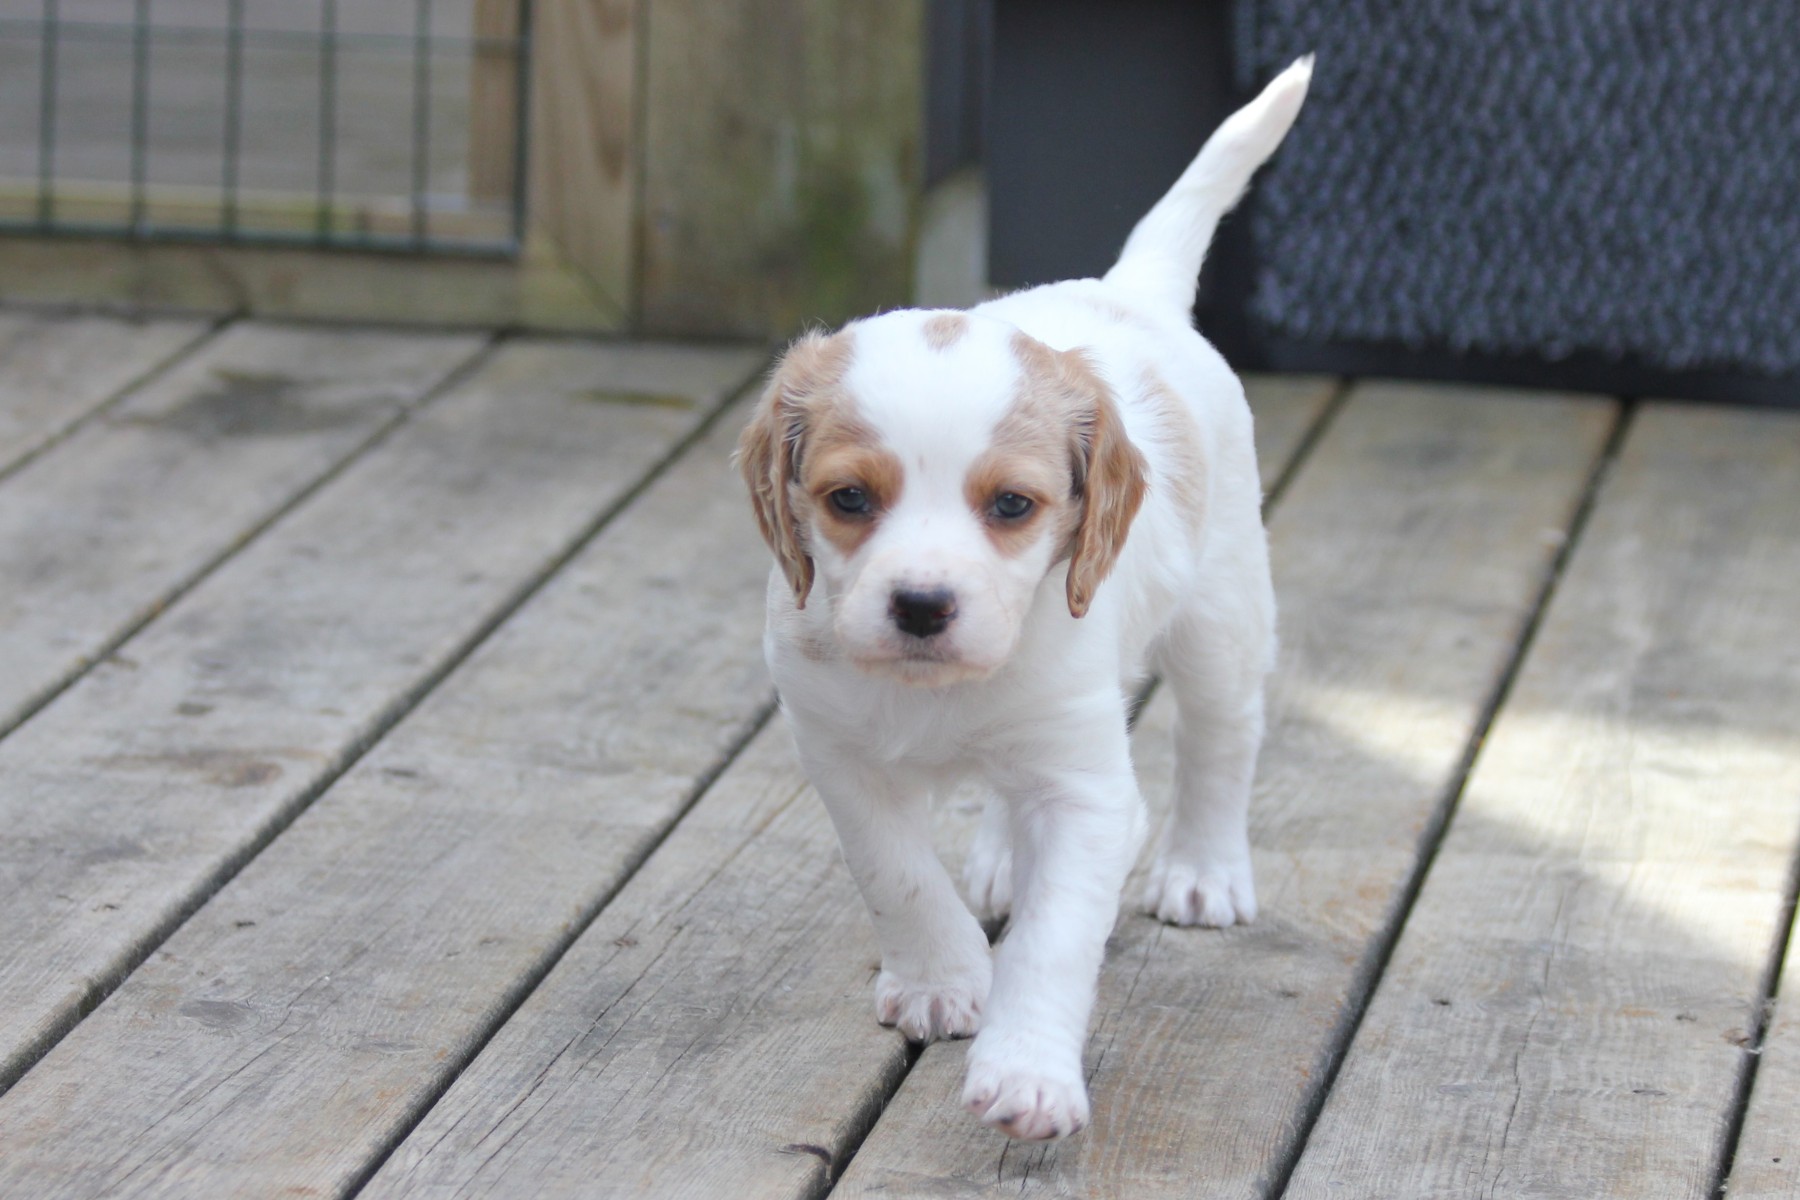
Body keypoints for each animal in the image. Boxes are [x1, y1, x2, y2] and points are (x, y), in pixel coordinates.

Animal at [737, 58, 1312, 1141]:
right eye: (847, 500)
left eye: (1012, 505)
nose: (922, 606)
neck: (934, 693)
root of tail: (1131, 288)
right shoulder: (836, 751)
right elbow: (897, 871)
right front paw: (940, 979)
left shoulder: (1087, 792)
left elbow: (1053, 940)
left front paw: (1029, 1074)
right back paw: (1006, 858)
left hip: (1222, 618)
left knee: (1220, 745)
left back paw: (1203, 870)